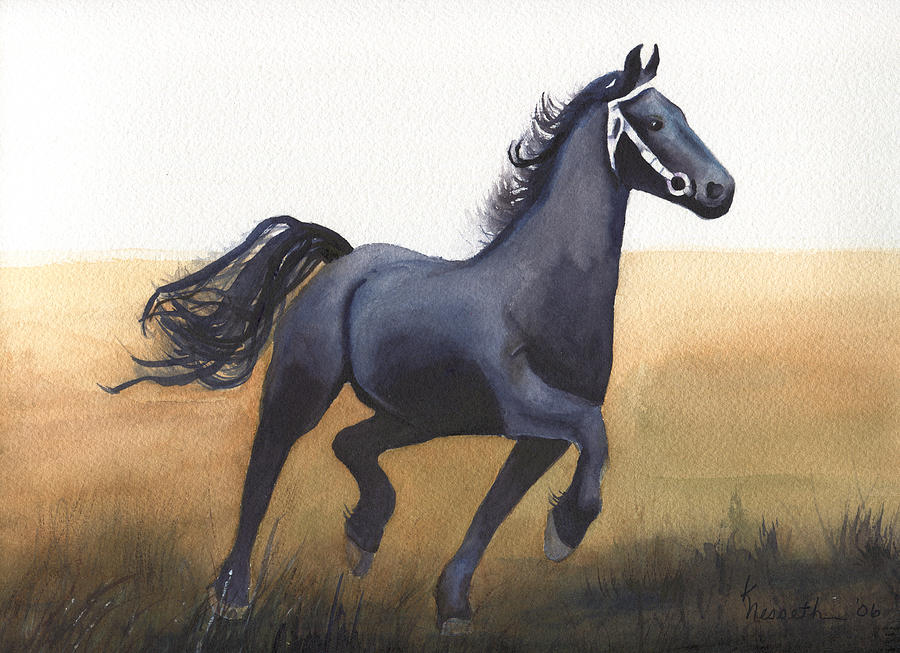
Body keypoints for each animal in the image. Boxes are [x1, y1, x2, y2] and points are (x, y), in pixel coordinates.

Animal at [104, 44, 734, 634]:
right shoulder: (526, 407)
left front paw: (454, 604)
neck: (542, 293)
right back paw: (233, 596)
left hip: (418, 416)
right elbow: (594, 437)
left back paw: (363, 535)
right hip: (302, 390)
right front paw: (565, 534)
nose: (720, 189)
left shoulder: (538, 438)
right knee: (265, 466)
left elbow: (499, 506)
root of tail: (344, 260)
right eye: (654, 121)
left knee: (351, 445)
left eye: (681, 113)